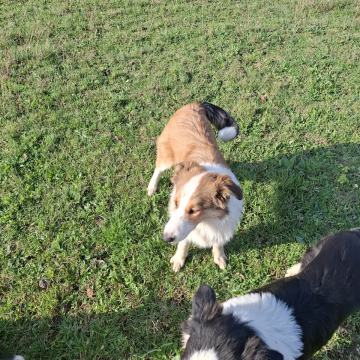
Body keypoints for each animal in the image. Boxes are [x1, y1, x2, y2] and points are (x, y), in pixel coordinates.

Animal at [147, 102, 245, 272]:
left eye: (194, 210)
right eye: (176, 203)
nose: (166, 238)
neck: (206, 221)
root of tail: (194, 104)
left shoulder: (222, 226)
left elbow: (218, 242)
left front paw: (219, 256)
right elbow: (183, 243)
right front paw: (178, 259)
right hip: (166, 156)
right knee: (158, 169)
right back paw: (152, 187)